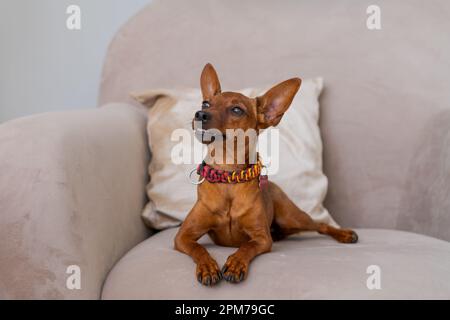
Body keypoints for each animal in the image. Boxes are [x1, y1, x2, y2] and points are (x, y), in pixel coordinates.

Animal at [174, 62, 356, 284]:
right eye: (206, 103)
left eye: (237, 109)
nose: (200, 114)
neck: (228, 176)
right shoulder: (183, 236)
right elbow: (198, 248)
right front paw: (208, 267)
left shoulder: (261, 238)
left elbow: (247, 246)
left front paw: (235, 263)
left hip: (292, 217)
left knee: (320, 225)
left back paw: (345, 234)